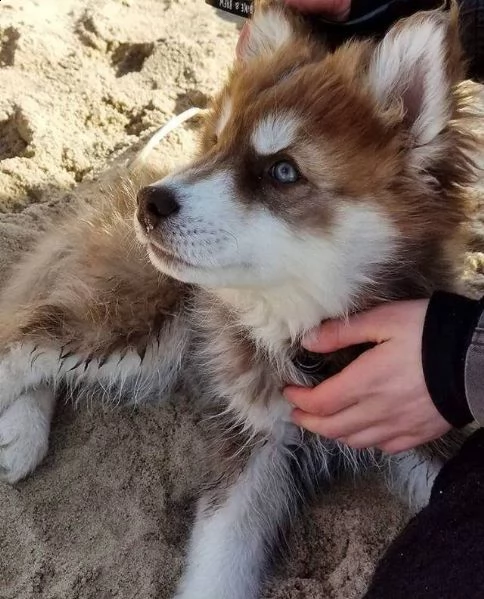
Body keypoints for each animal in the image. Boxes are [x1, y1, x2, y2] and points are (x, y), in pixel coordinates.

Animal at [0, 2, 478, 596]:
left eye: (283, 171)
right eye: (216, 142)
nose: (149, 204)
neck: (301, 333)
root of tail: (138, 173)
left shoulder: (419, 434)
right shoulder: (254, 441)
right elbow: (216, 567)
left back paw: (19, 435)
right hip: (140, 321)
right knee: (27, 337)